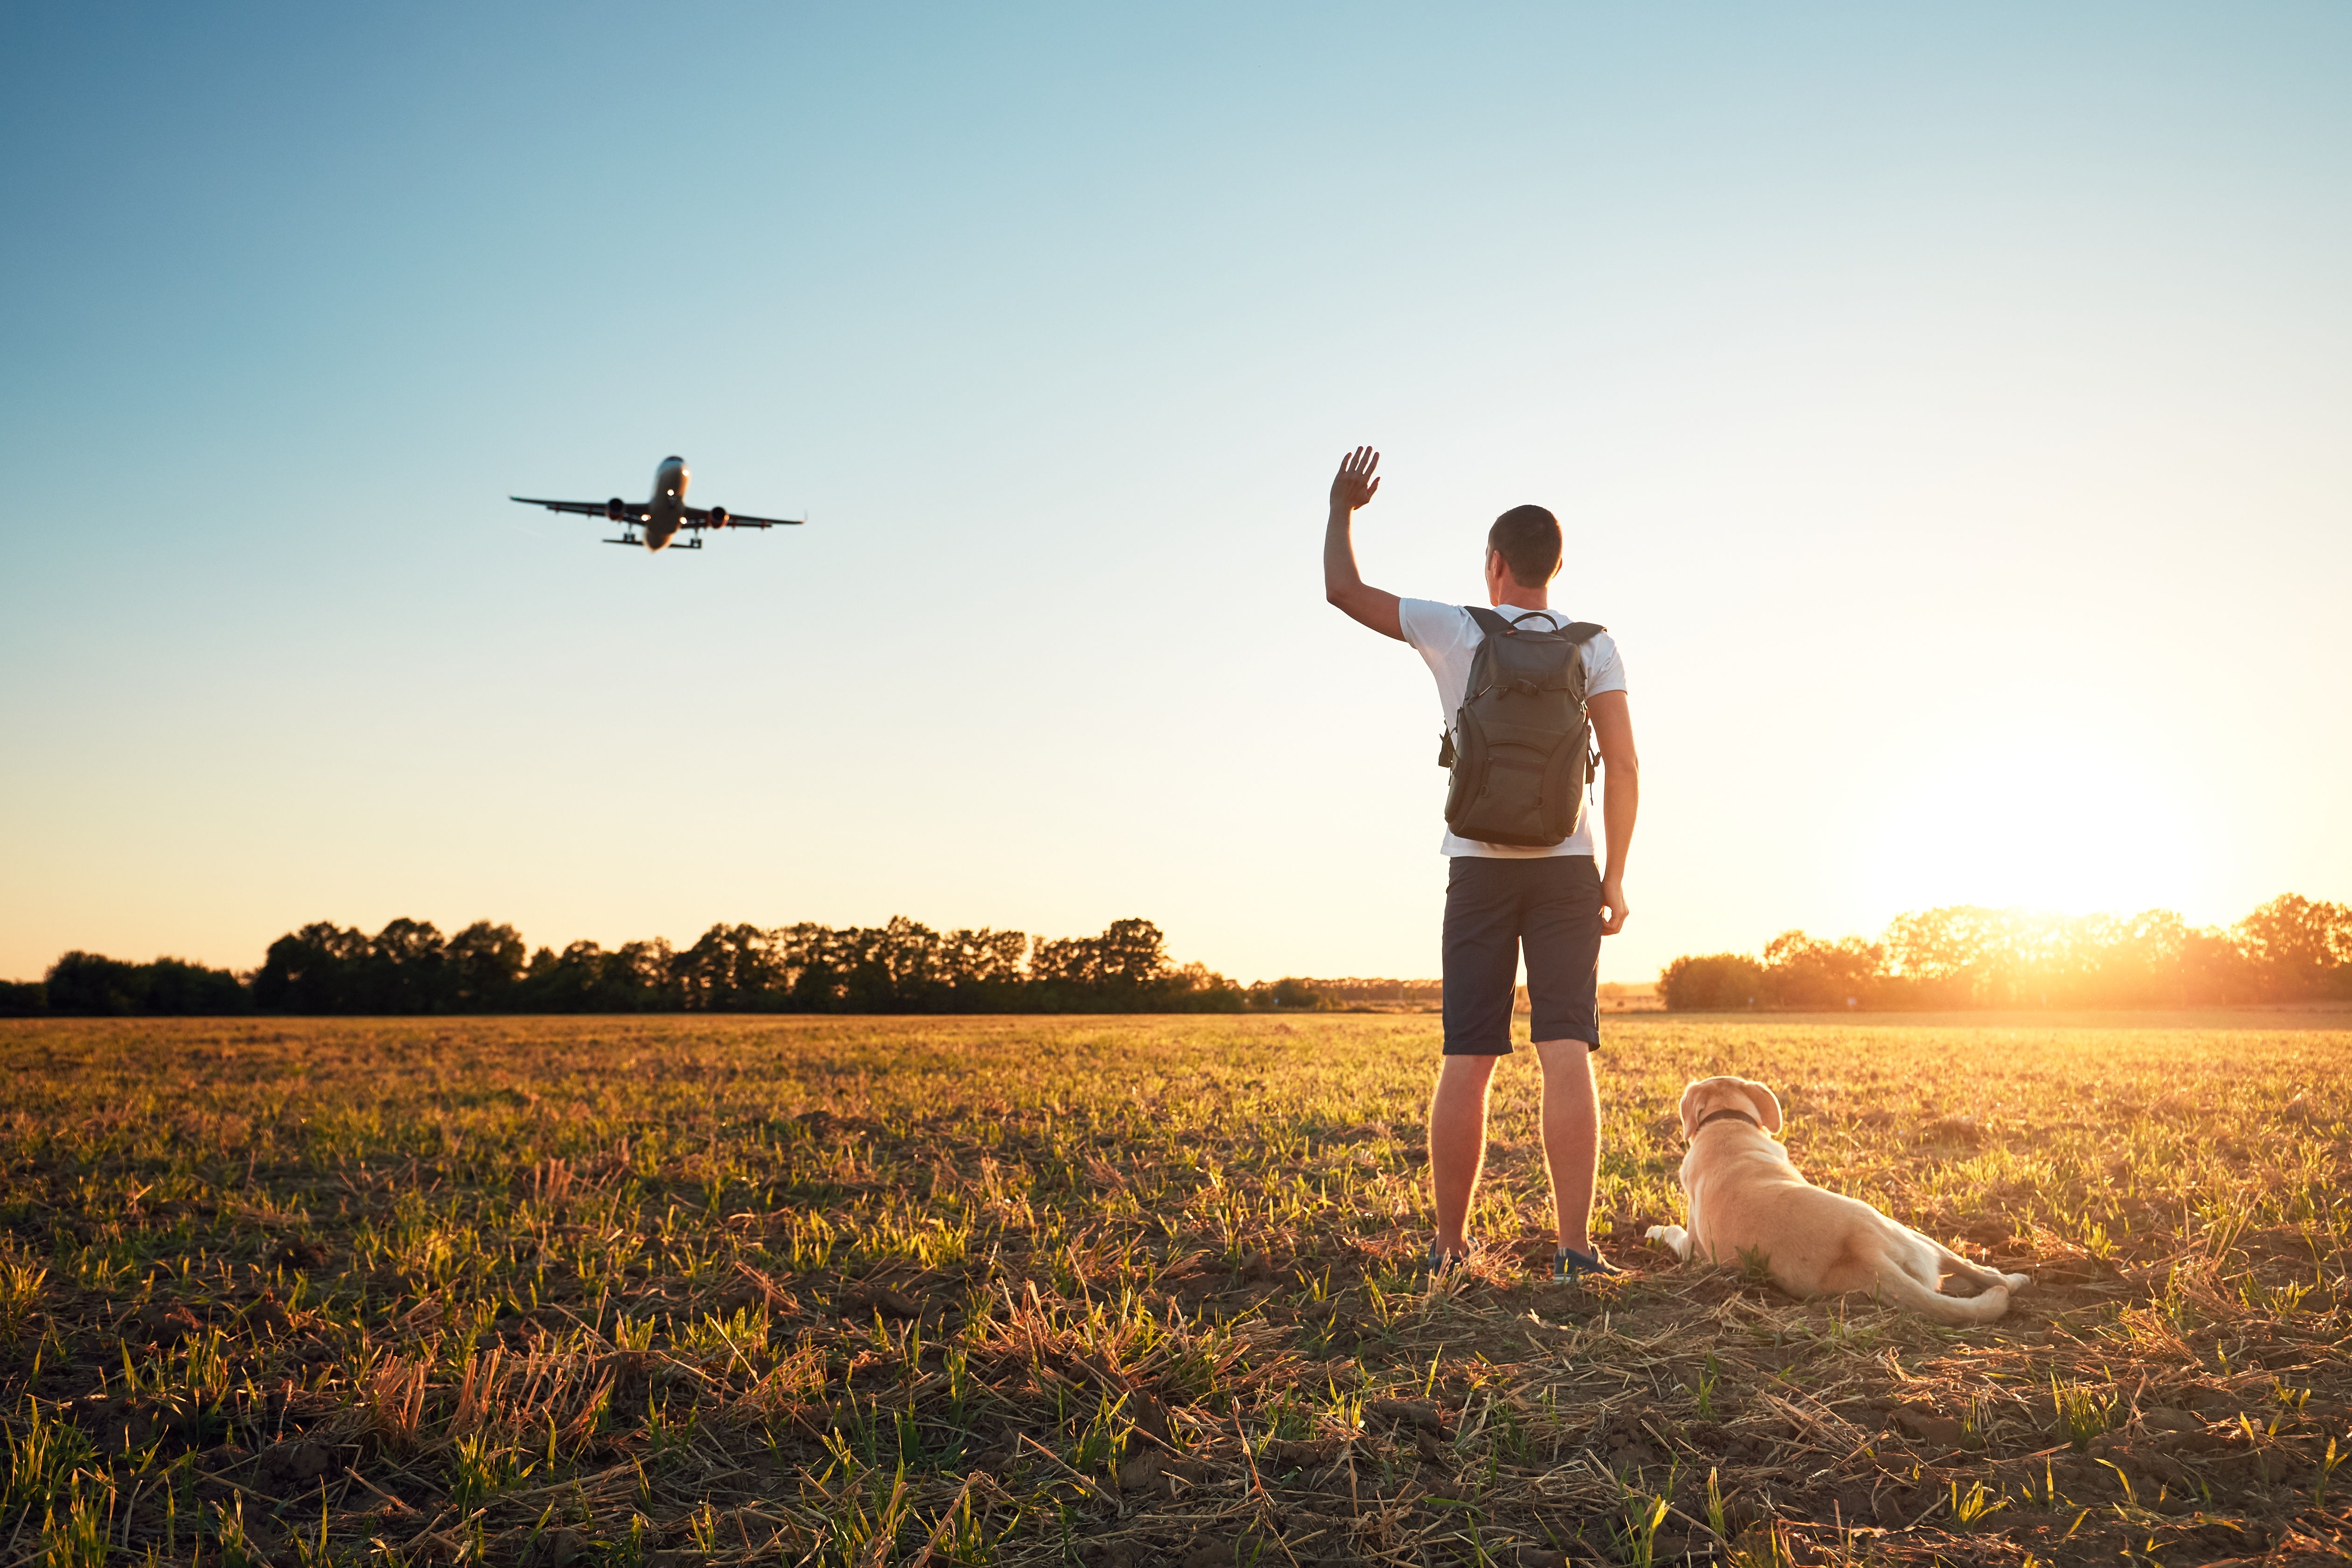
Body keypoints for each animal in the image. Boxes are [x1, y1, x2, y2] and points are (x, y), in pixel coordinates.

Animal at [1646, 1081, 2032, 1326]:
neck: (1725, 1123)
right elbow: (1671, 1231)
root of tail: (1865, 1253)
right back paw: (2011, 1279)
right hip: (1911, 1233)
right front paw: (1655, 1230)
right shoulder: (1691, 1249)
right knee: (1977, 1272)